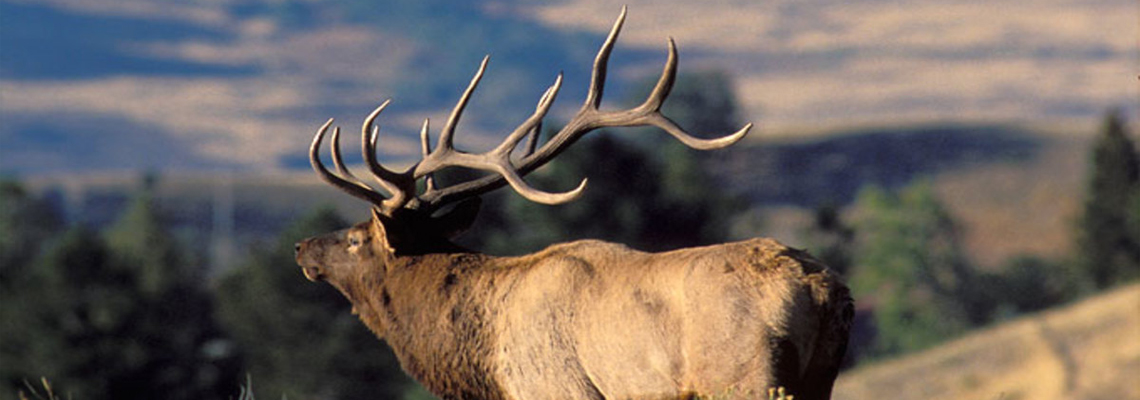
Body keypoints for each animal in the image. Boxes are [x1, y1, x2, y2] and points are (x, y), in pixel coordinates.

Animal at [298, 7, 852, 400]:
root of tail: (821, 289)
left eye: (356, 238)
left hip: (743, 375)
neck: (484, 363)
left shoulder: (554, 388)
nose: (303, 247)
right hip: (818, 379)